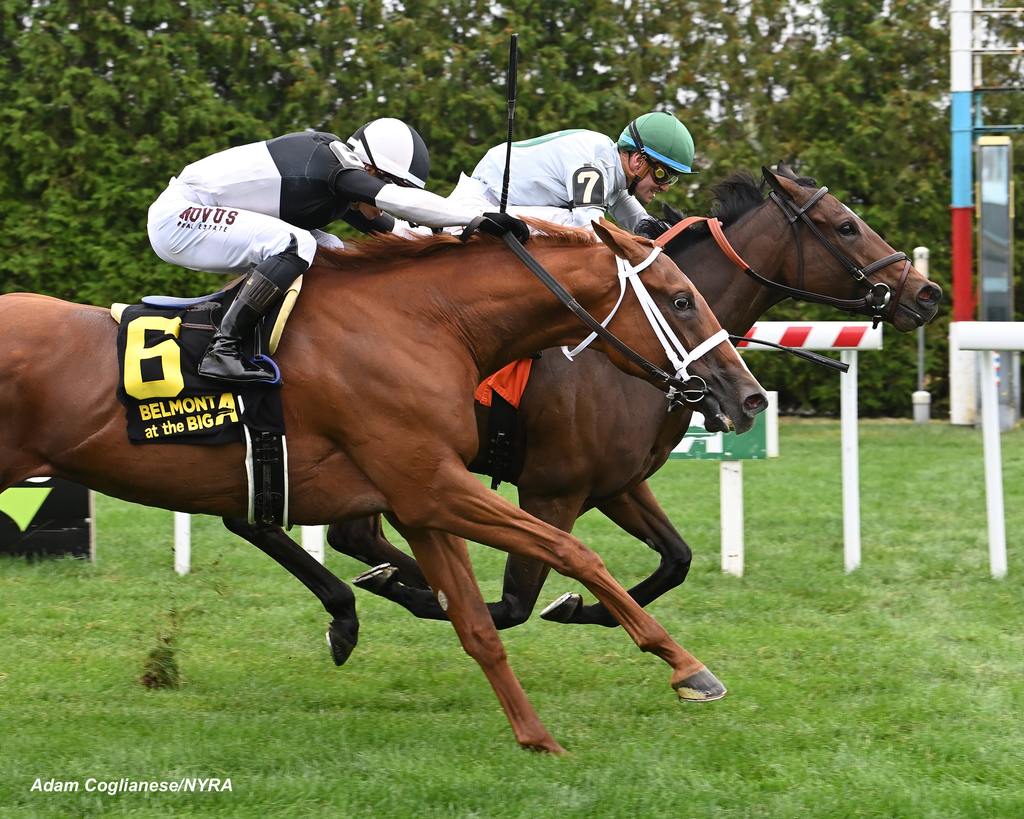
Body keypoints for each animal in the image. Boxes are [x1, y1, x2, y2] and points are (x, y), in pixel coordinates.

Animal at [0, 219, 765, 753]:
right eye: (682, 300)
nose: (749, 396)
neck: (424, 322)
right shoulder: (443, 486)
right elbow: (571, 554)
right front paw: (688, 667)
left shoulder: (423, 501)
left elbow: (479, 623)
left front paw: (536, 736)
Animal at [323, 165, 937, 626]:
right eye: (847, 226)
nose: (927, 293)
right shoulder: (553, 491)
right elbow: (514, 603)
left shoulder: (618, 484)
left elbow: (676, 560)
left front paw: (577, 608)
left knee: (352, 532)